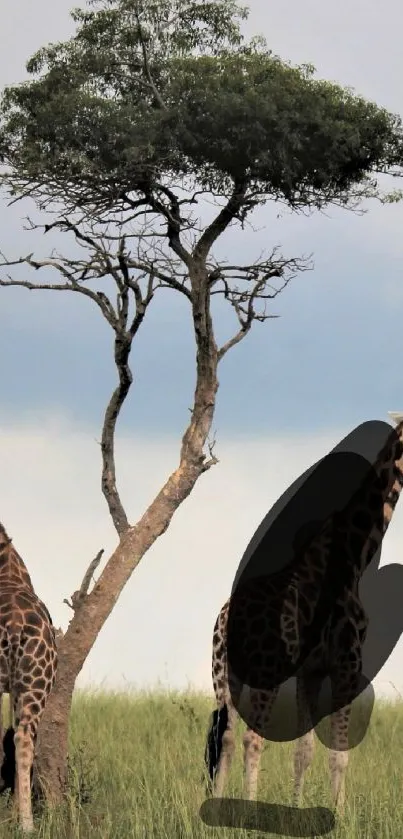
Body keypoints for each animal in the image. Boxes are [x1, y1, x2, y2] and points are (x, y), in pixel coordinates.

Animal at [204, 420, 403, 812]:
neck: (355, 556)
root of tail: (227, 621)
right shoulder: (347, 661)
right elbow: (339, 752)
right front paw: (339, 814)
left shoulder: (310, 671)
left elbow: (304, 750)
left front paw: (297, 808)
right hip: (264, 673)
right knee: (252, 737)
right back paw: (248, 807)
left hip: (222, 674)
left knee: (227, 736)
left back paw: (216, 806)